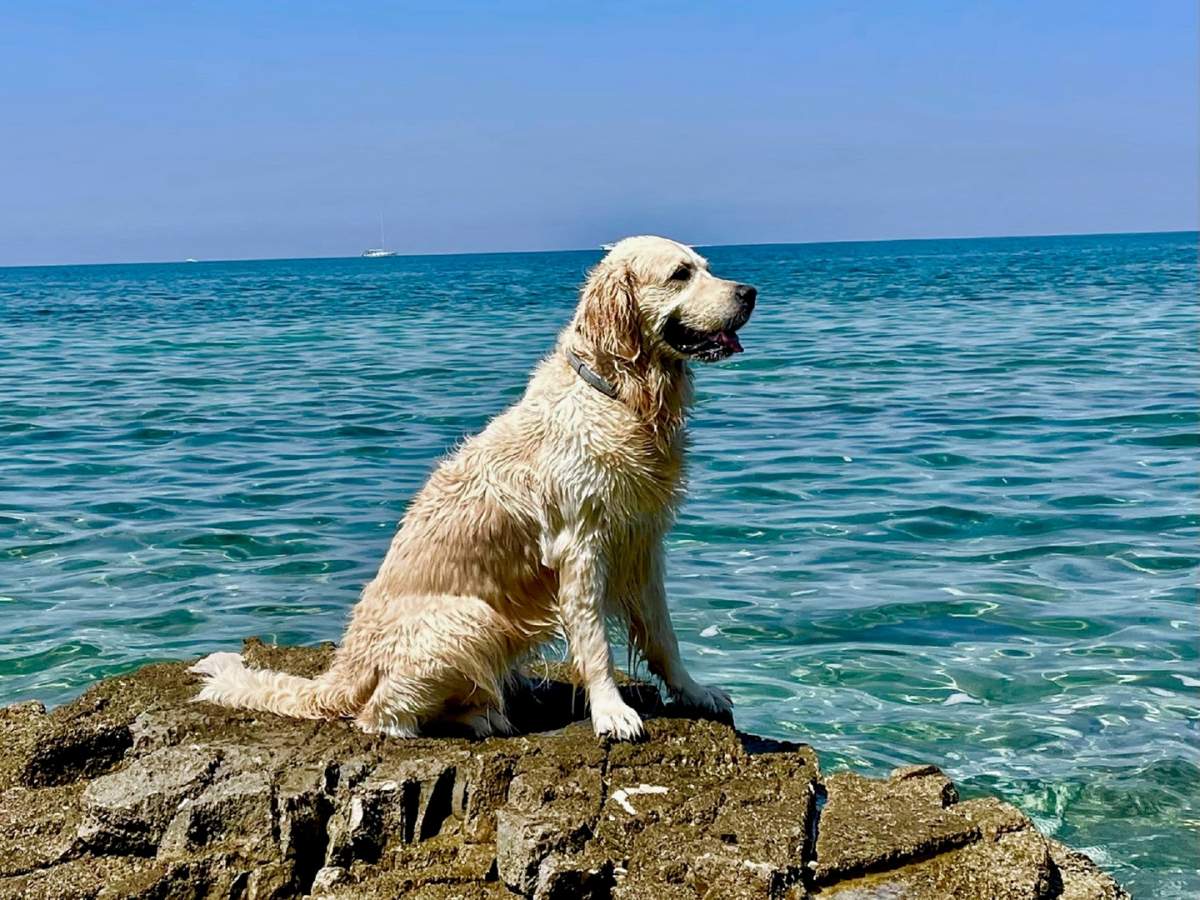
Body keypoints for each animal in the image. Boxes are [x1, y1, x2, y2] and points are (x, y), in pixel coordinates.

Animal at [192, 236, 753, 744]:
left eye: (706, 266)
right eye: (680, 274)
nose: (749, 291)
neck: (618, 394)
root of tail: (346, 667)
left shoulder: (641, 541)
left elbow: (664, 635)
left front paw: (694, 692)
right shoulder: (581, 545)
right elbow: (595, 641)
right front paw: (611, 711)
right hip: (473, 618)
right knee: (381, 717)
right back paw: (479, 717)